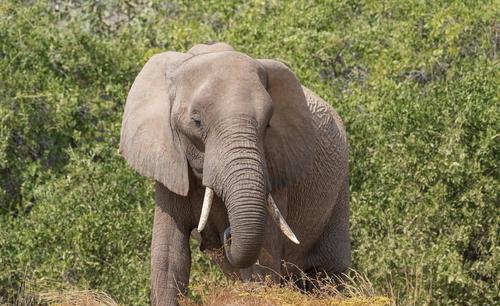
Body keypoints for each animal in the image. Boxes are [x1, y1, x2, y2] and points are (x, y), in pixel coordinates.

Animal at [118, 43, 350, 306]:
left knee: (328, 274)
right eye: (196, 121)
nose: (227, 234)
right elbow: (169, 257)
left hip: (339, 192)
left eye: (268, 123)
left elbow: (262, 260)